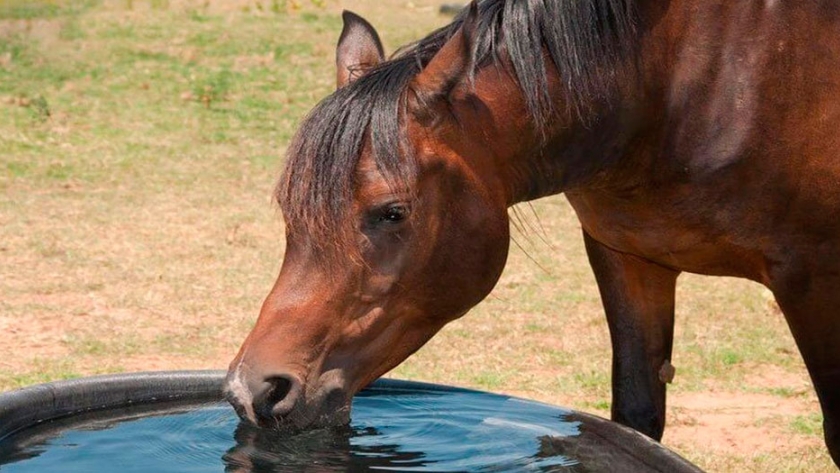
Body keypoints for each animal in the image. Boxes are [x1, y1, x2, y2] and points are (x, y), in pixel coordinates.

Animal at [224, 0, 840, 465]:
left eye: (391, 212)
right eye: (289, 212)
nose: (252, 392)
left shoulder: (812, 278)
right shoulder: (626, 256)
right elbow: (634, 421)